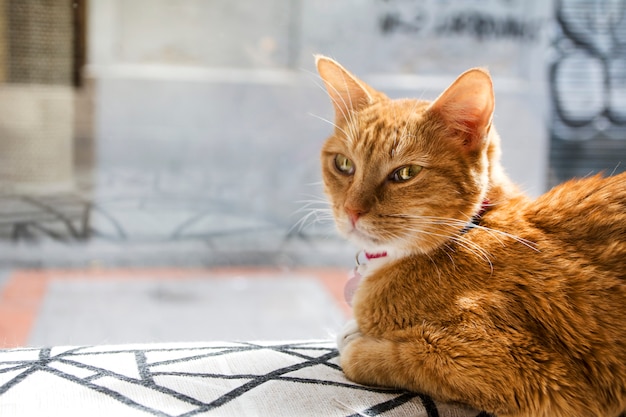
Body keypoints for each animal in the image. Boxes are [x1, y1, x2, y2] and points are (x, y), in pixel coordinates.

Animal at [314, 54, 624, 416]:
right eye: (343, 164)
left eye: (406, 173)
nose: (351, 211)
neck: (473, 228)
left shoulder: (537, 378)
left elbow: (383, 357)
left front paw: (358, 342)